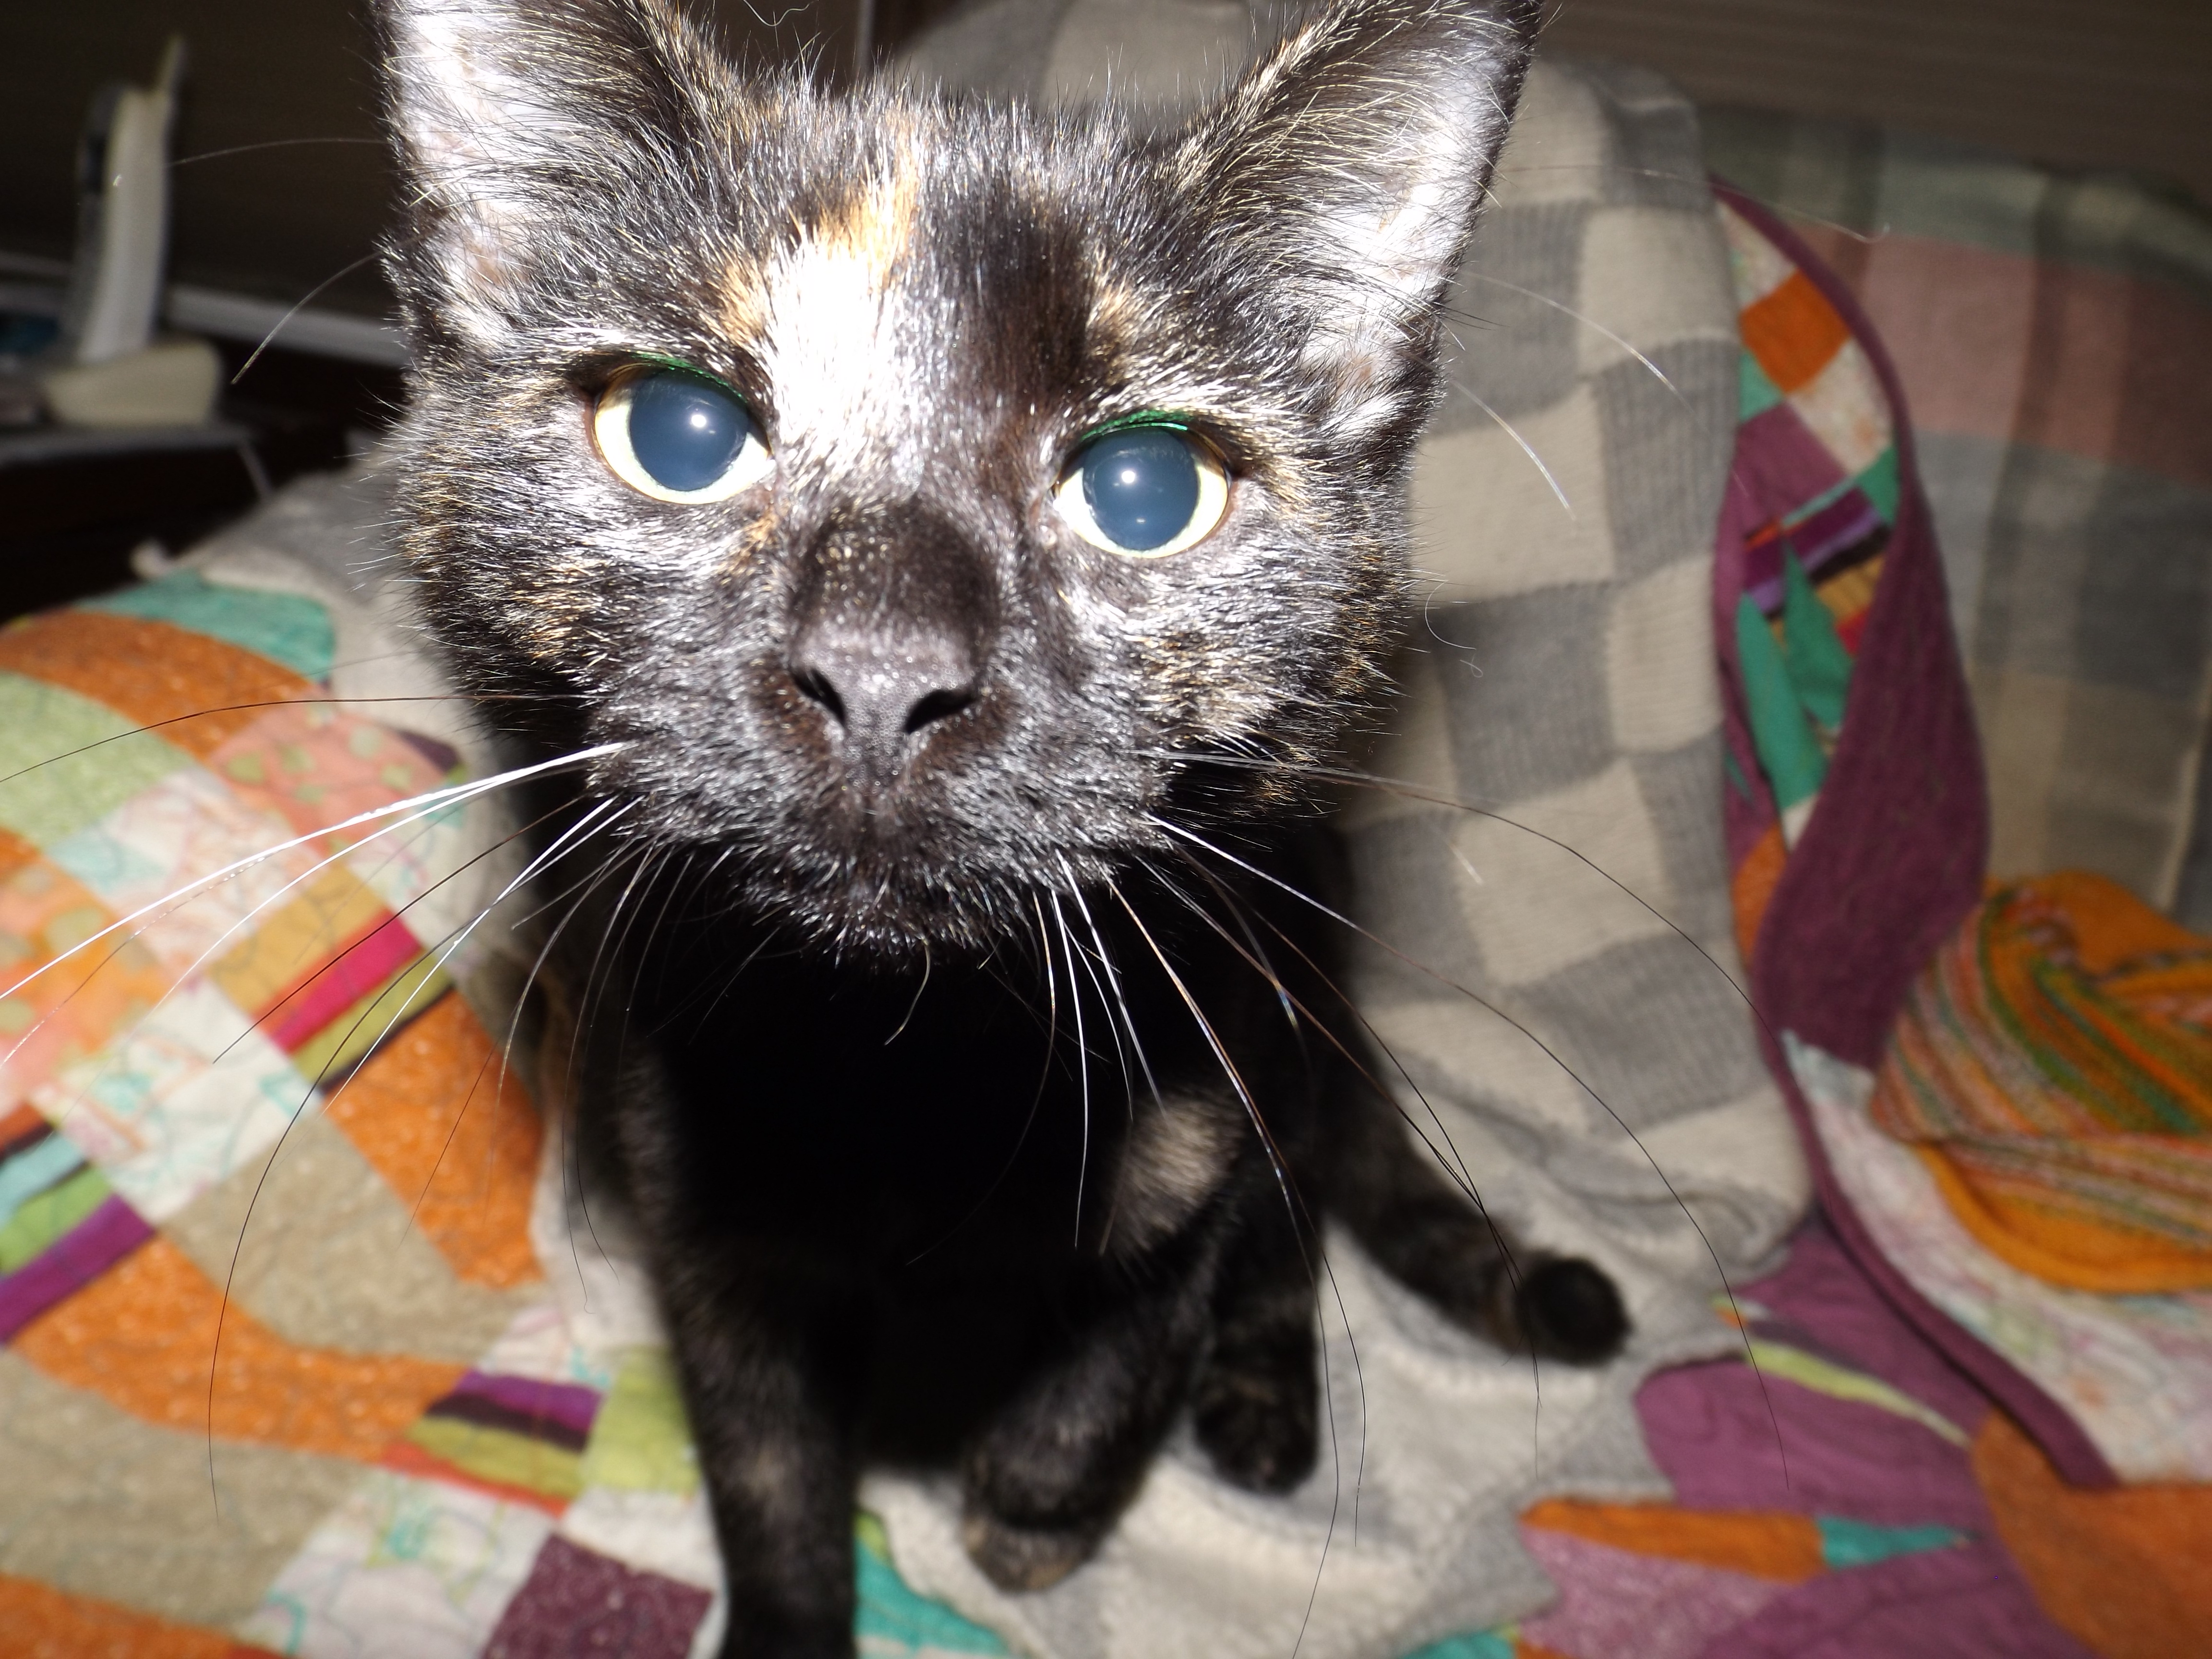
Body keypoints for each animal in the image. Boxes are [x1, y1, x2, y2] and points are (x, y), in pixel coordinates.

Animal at [369, 0, 1626, 1651]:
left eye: (1149, 491)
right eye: (679, 434)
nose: (883, 668)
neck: (917, 1068)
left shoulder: (1212, 1108)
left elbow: (1125, 1351)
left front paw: (1028, 1514)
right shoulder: (714, 1248)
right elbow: (768, 1486)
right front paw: (799, 1611)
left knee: (1293, 1245)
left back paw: (1260, 1403)